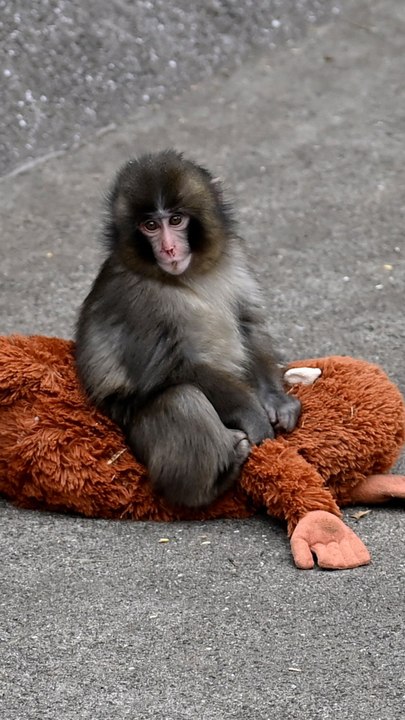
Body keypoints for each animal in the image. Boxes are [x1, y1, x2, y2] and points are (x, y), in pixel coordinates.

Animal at [75, 150, 301, 508]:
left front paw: (276, 401)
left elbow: (247, 323)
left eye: (176, 220)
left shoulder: (234, 256)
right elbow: (174, 368)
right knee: (181, 398)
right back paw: (214, 481)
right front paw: (253, 414)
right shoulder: (137, 300)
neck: (187, 275)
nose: (168, 249)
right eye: (150, 225)